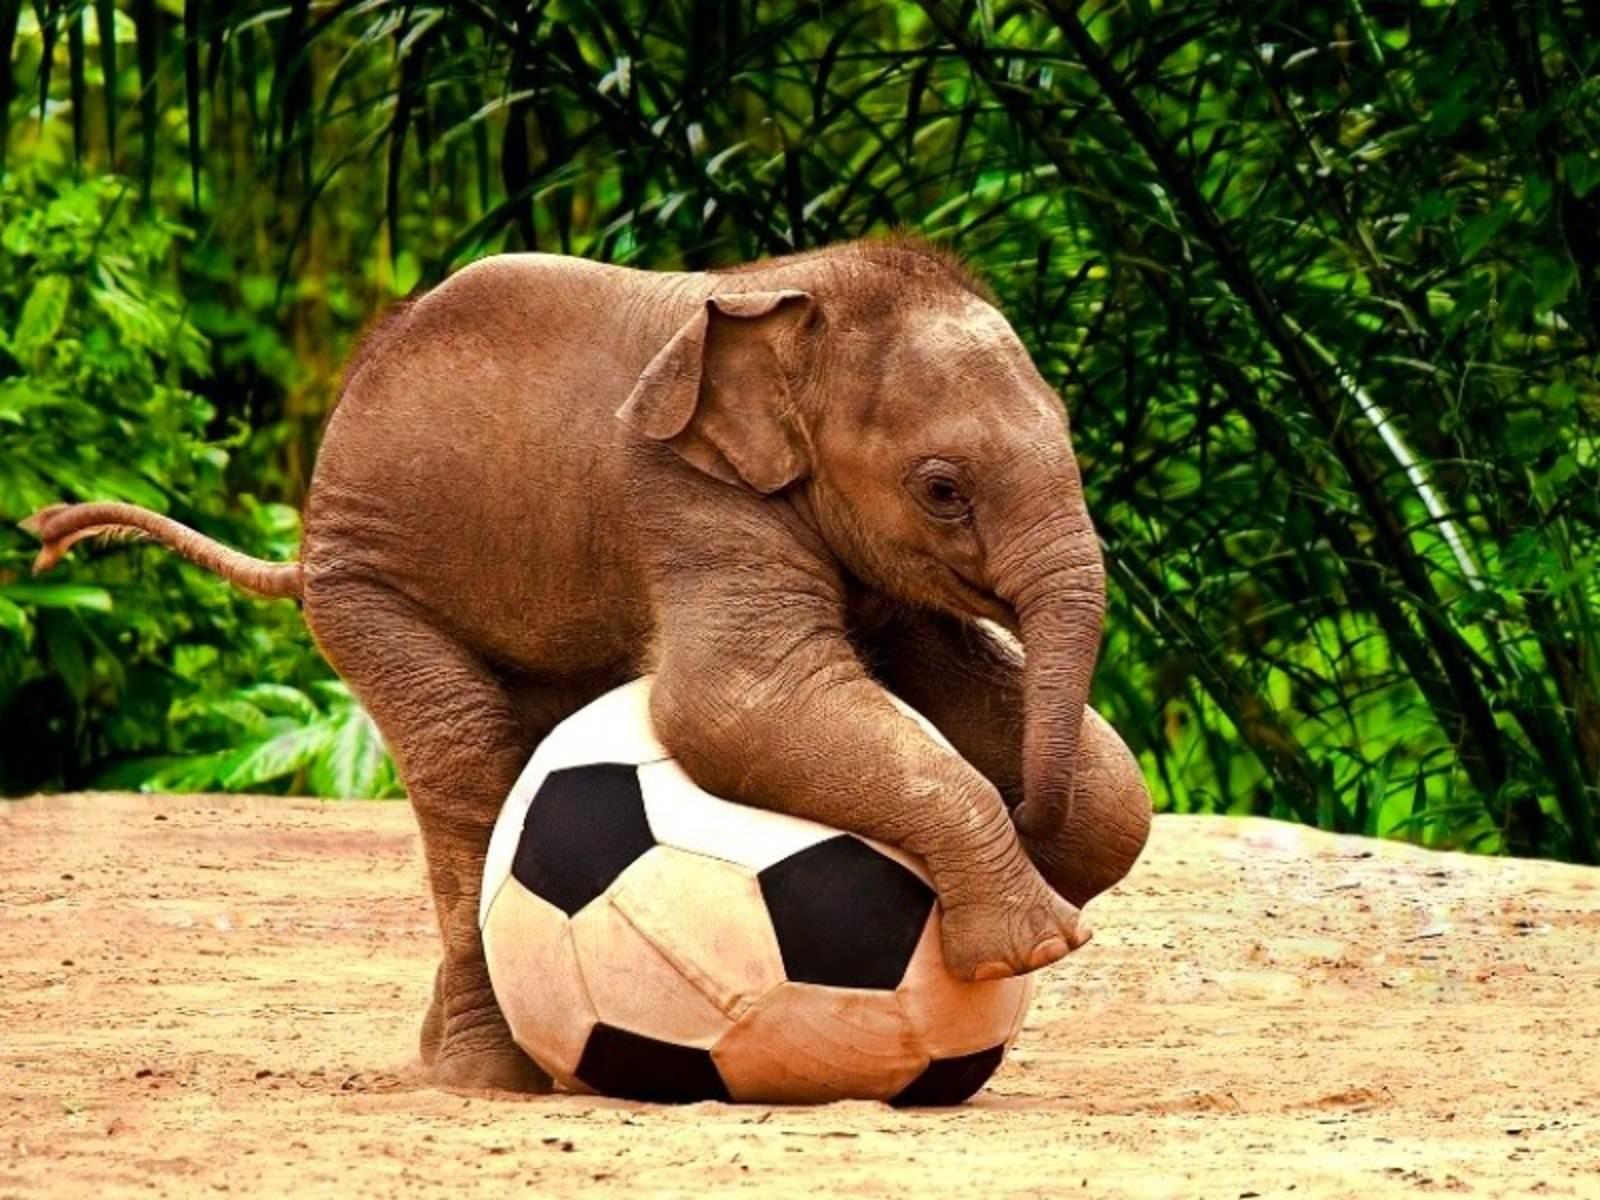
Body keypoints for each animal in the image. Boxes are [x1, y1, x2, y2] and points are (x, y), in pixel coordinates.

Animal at [26, 236, 1153, 1093]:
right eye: (942, 490)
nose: (1026, 815)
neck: (801, 291)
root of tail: (304, 544)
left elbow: (1044, 740)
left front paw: (1048, 879)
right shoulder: (683, 497)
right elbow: (730, 706)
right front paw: (1036, 943)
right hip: (368, 584)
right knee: (470, 760)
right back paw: (491, 1077)